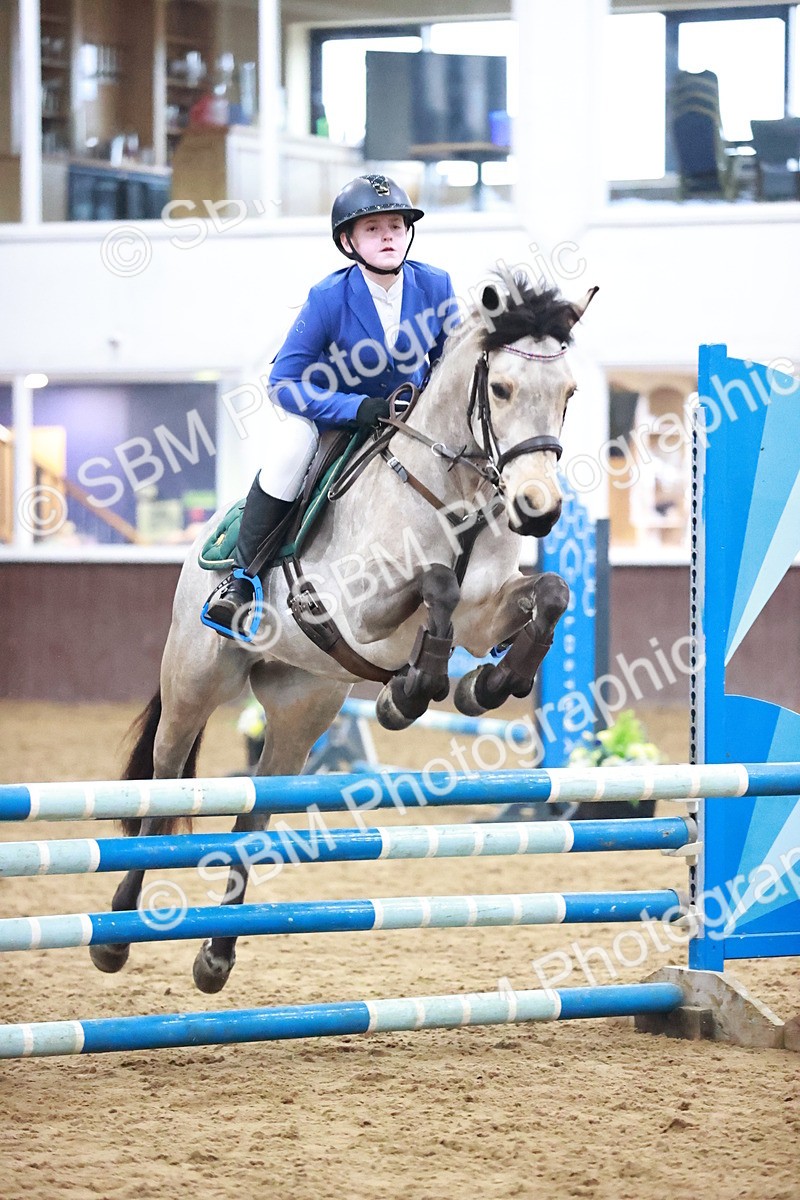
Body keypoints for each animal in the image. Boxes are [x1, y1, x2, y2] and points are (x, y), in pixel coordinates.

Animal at [90, 275, 597, 994]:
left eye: (569, 392)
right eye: (499, 389)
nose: (539, 509)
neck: (454, 496)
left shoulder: (483, 614)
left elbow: (548, 594)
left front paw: (486, 684)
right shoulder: (357, 609)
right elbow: (435, 584)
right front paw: (409, 692)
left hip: (302, 706)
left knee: (256, 812)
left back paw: (216, 956)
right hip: (194, 683)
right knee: (163, 788)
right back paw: (116, 932)